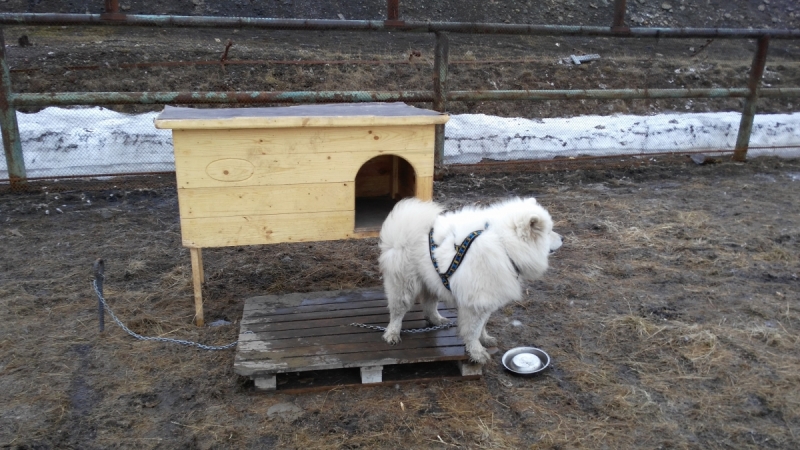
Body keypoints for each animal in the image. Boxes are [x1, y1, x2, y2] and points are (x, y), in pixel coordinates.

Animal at [380, 198, 564, 366]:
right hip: (404, 286)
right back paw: (392, 334)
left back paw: (437, 320)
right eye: (549, 232)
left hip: (432, 281)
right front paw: (477, 353)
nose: (562, 238)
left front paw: (485, 339)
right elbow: (473, 331)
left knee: (429, 305)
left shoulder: (486, 300)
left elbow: (482, 325)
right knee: (398, 311)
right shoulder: (477, 303)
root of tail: (403, 226)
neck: (504, 245)